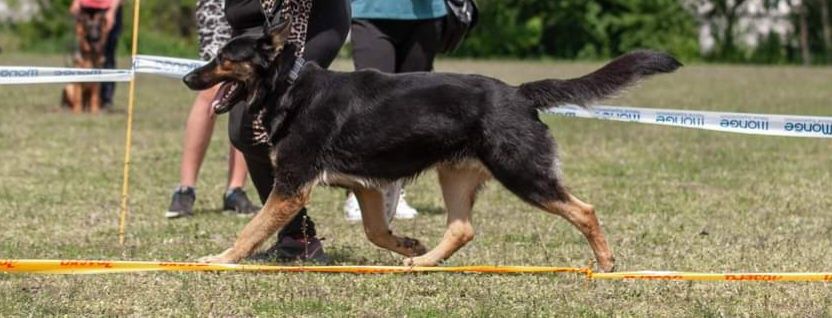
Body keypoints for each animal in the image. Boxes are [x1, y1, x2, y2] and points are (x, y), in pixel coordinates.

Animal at [184, 21, 684, 272]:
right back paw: (423, 260)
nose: (189, 78)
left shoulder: (291, 185)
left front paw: (219, 260)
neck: (288, 85)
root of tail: (519, 93)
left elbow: (250, 230)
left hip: (522, 172)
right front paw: (407, 244)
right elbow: (376, 231)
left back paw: (606, 262)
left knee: (585, 210)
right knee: (462, 229)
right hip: (455, 174)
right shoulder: (365, 186)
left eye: (225, 58)